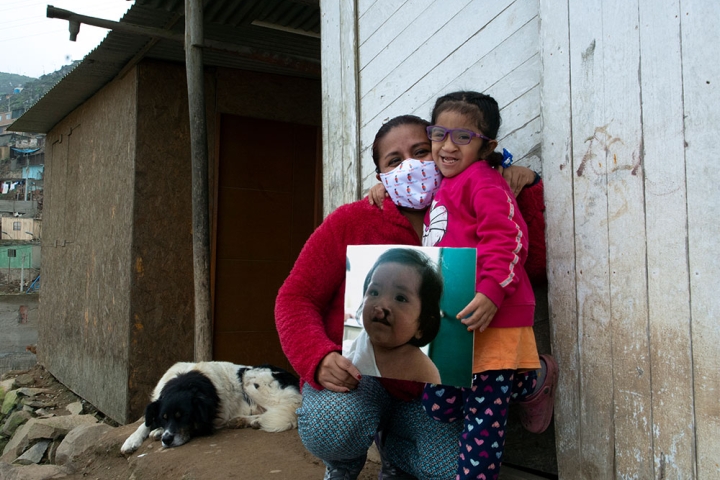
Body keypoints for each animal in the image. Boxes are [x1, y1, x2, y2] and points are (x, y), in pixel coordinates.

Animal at [121, 360, 300, 454]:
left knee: (287, 409)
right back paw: (246, 421)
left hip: (250, 378)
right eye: (163, 417)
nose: (167, 439)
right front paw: (132, 440)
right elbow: (145, 423)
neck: (184, 383)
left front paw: (157, 431)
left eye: (184, 416)